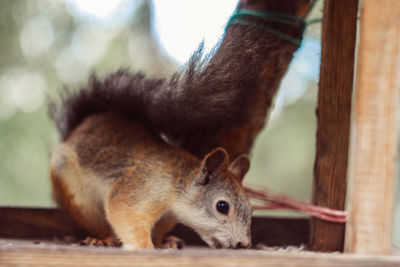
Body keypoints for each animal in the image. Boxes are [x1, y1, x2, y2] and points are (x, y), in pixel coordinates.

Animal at [49, 112, 250, 250]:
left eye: (250, 208)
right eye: (222, 206)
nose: (243, 244)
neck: (178, 183)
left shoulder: (167, 217)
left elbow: (158, 229)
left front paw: (162, 242)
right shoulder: (145, 187)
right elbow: (125, 212)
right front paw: (145, 247)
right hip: (77, 196)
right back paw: (102, 239)